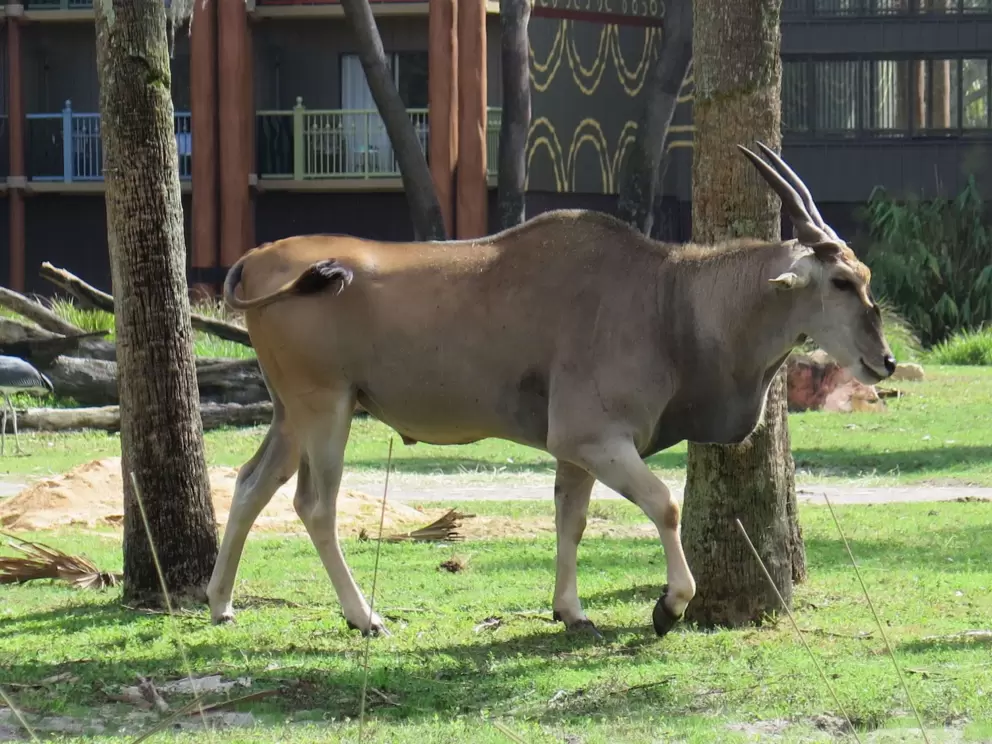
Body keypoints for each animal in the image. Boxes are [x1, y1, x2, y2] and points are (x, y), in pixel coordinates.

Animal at [205, 143, 895, 638]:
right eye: (840, 281)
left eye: (863, 275)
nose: (885, 362)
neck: (667, 296)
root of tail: (256, 260)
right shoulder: (595, 437)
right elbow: (663, 504)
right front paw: (669, 605)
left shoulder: (575, 451)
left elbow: (572, 518)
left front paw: (571, 610)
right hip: (327, 408)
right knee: (314, 505)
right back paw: (364, 616)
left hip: (292, 414)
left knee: (251, 484)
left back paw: (220, 603)